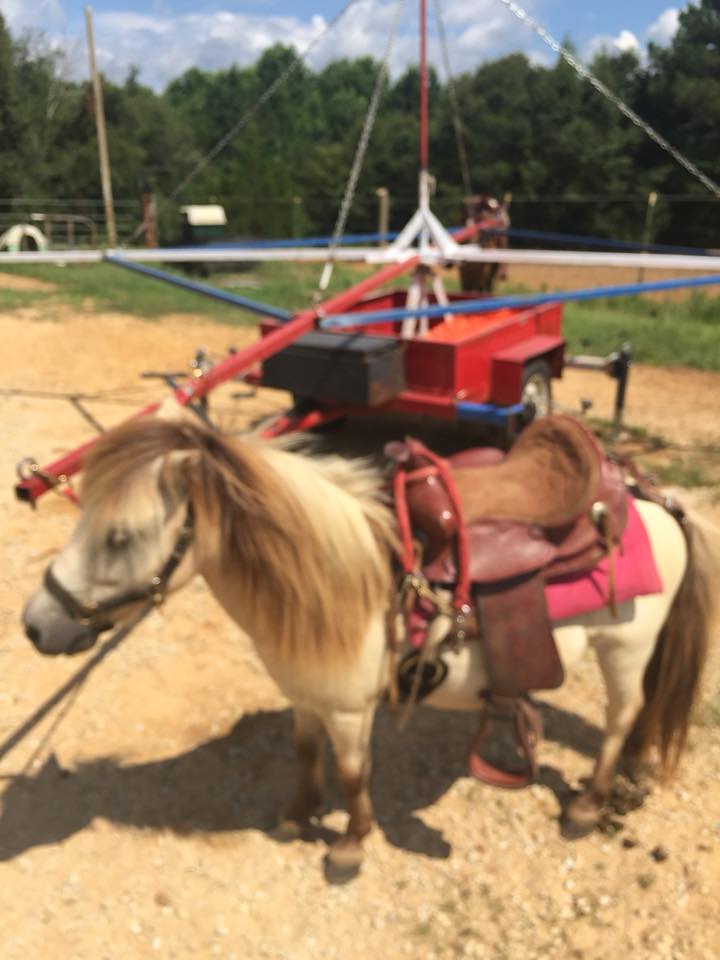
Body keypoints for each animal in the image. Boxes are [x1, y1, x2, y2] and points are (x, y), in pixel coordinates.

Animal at [22, 406, 714, 877]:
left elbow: (354, 773)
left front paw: (350, 844)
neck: (340, 577)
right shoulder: (306, 695)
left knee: (622, 714)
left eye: (122, 535)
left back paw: (587, 806)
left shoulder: (352, 709)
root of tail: (650, 493)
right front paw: (297, 816)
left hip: (624, 648)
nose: (34, 624)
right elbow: (305, 754)